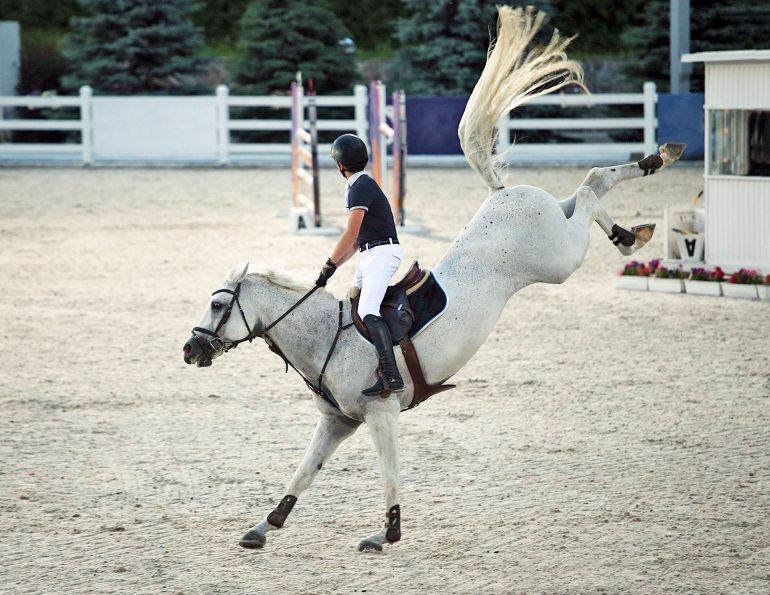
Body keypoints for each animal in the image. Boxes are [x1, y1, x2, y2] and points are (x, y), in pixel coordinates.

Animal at [182, 5, 684, 552]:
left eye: (217, 305)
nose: (190, 350)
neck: (322, 338)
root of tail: (501, 193)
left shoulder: (381, 414)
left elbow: (389, 473)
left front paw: (388, 532)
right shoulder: (336, 422)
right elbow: (303, 473)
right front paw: (264, 526)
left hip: (557, 258)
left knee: (591, 189)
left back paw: (643, 202)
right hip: (555, 230)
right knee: (586, 188)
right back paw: (641, 200)